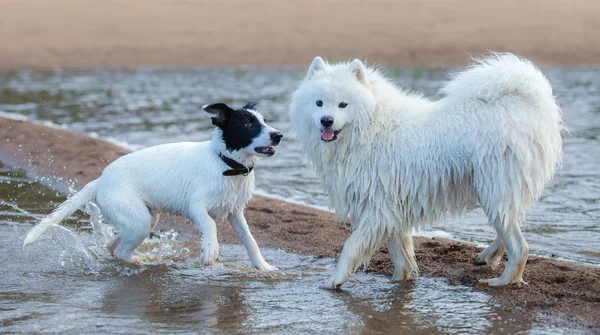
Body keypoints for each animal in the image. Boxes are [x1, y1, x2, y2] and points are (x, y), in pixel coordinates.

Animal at [24, 102, 282, 272]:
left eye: (264, 121)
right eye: (248, 123)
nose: (278, 135)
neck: (225, 163)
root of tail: (99, 181)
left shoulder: (235, 211)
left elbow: (250, 240)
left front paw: (264, 267)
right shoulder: (197, 207)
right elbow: (210, 225)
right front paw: (210, 251)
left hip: (146, 219)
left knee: (112, 245)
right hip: (139, 221)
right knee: (122, 251)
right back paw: (140, 262)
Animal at [290, 54, 564, 288]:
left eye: (343, 105)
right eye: (319, 103)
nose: (326, 120)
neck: (371, 127)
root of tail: (532, 107)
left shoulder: (378, 207)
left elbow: (351, 245)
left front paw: (334, 280)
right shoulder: (390, 209)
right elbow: (399, 253)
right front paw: (400, 280)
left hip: (496, 187)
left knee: (519, 245)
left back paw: (503, 280)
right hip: (496, 190)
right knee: (509, 225)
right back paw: (489, 256)